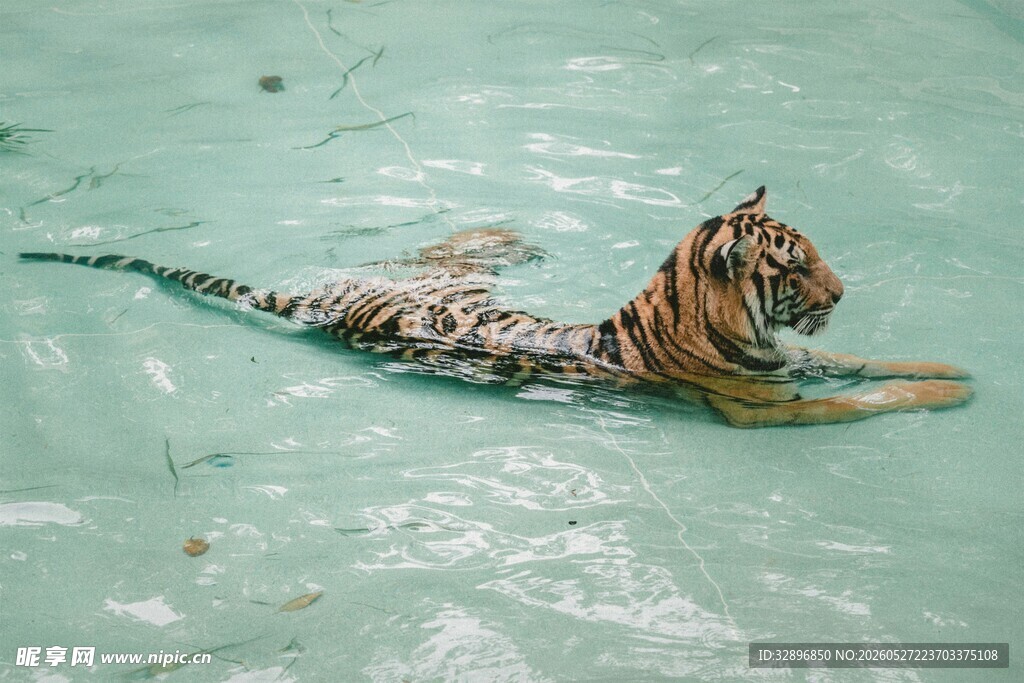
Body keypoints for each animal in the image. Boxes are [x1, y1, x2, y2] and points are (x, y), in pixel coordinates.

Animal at [19, 186, 972, 427]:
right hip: (419, 279)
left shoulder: (794, 361)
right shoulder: (766, 407)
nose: (843, 292)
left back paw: (508, 234)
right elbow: (868, 395)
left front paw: (952, 365)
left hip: (429, 275)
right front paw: (948, 392)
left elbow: (870, 362)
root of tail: (314, 303)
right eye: (797, 265)